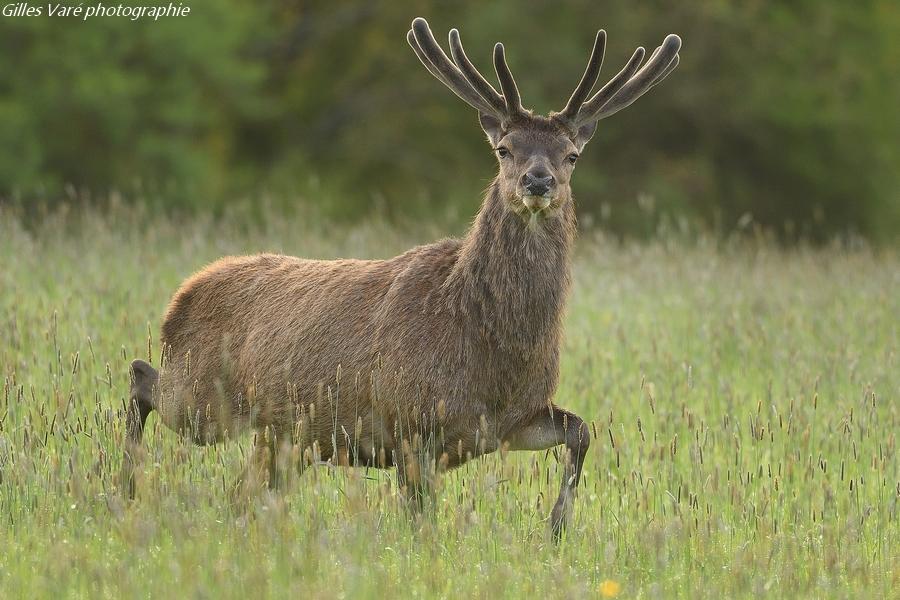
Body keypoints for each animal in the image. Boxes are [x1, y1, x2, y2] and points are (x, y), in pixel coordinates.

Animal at [123, 16, 680, 540]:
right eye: (504, 148)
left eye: (571, 155)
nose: (538, 180)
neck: (491, 348)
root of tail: (181, 297)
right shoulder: (412, 423)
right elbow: (421, 519)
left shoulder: (511, 419)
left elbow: (582, 432)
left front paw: (557, 527)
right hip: (204, 398)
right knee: (141, 377)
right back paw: (124, 489)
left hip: (283, 436)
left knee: (243, 493)